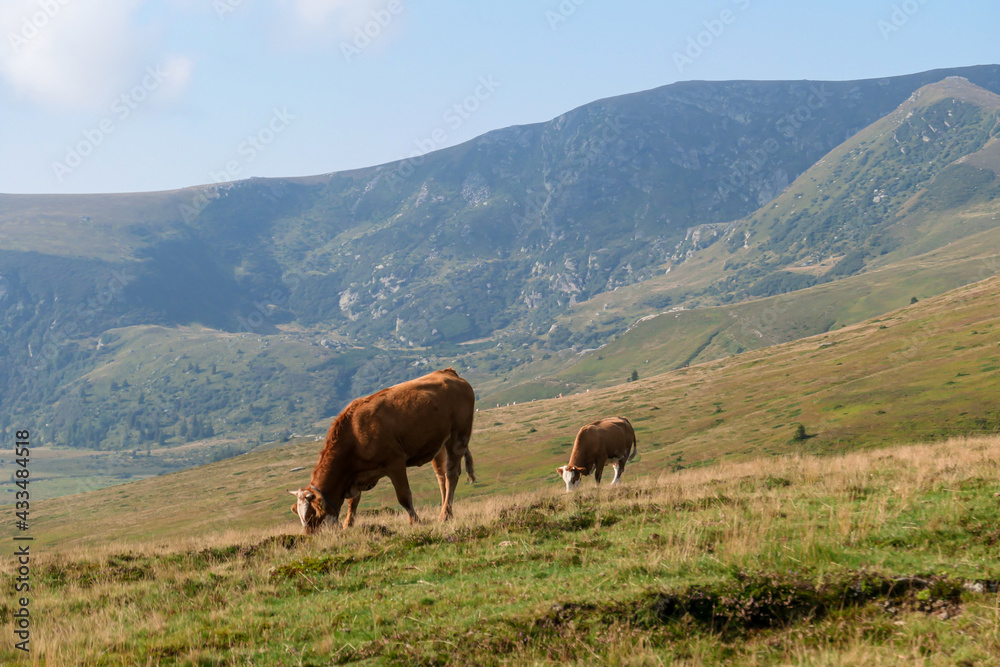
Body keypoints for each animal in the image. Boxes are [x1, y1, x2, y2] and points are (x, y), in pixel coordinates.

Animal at [290, 368, 476, 536]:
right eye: (299, 516)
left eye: (311, 516)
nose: (309, 536)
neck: (354, 435)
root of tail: (448, 372)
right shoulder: (356, 477)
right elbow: (353, 501)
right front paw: (347, 524)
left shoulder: (395, 463)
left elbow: (404, 496)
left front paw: (415, 521)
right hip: (439, 445)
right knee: (441, 477)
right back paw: (445, 510)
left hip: (459, 435)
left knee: (451, 475)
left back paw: (445, 515)